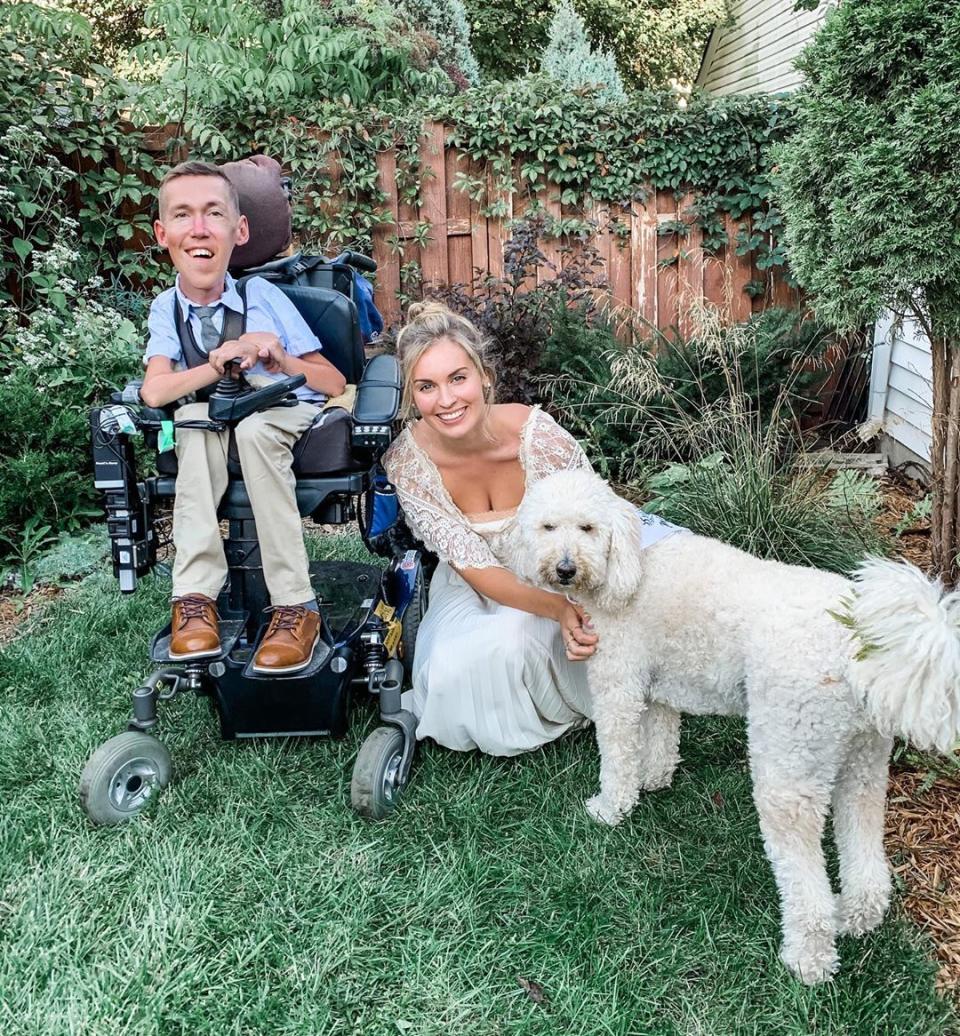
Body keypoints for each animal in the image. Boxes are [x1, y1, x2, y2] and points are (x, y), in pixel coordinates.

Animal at [517, 470, 960, 986]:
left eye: (587, 528)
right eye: (548, 527)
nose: (565, 568)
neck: (627, 566)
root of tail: (855, 641)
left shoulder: (619, 688)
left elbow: (619, 755)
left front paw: (611, 808)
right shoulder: (661, 688)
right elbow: (662, 737)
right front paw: (655, 779)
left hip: (788, 769)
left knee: (805, 884)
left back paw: (808, 960)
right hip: (863, 763)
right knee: (867, 862)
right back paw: (852, 918)